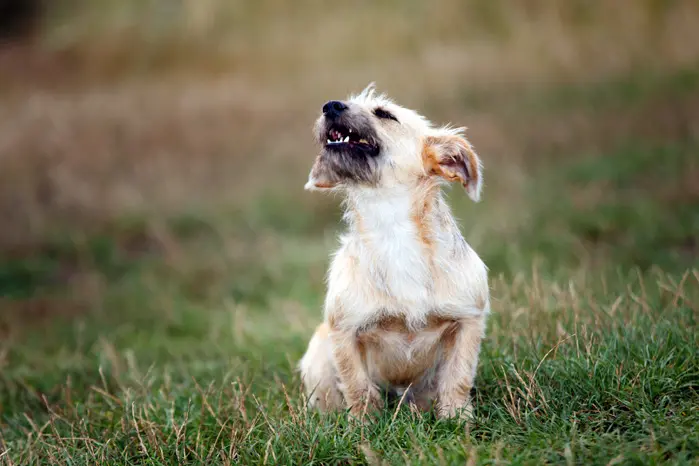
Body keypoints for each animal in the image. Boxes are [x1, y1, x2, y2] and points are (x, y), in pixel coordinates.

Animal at [298, 84, 490, 422]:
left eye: (384, 114)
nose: (330, 106)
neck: (391, 226)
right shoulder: (344, 331)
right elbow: (357, 387)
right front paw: (362, 426)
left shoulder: (468, 320)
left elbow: (458, 377)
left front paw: (457, 420)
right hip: (317, 354)